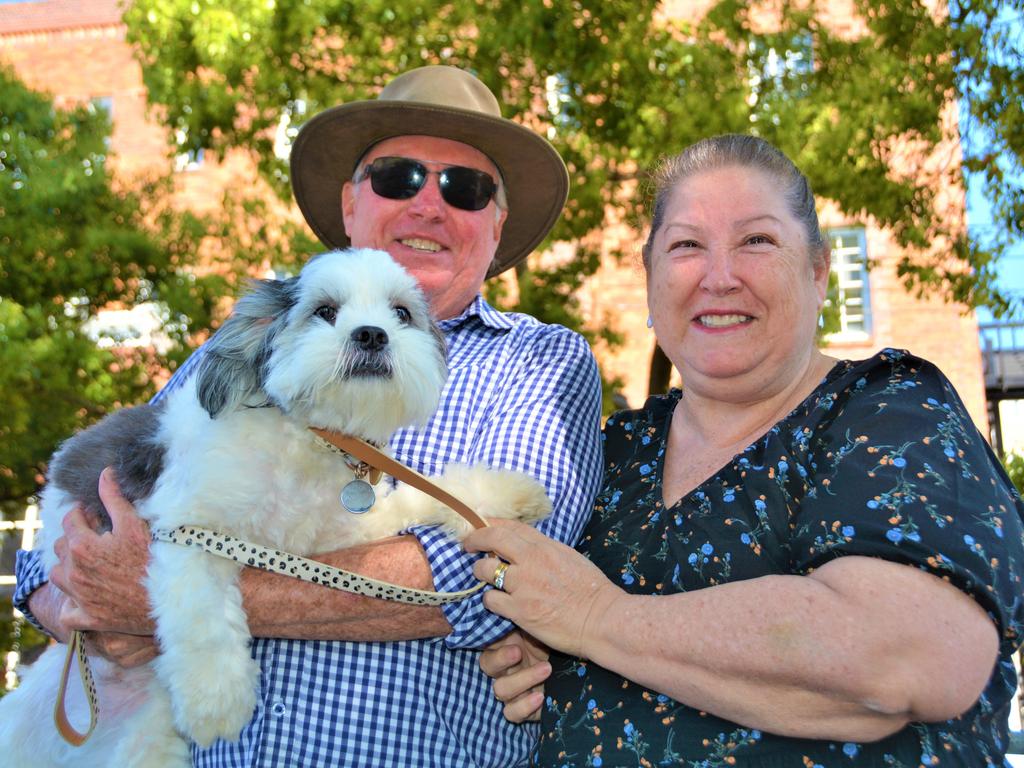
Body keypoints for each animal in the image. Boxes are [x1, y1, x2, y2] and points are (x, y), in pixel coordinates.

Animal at [0, 247, 552, 768]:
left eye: (401, 313)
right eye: (325, 311)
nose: (372, 335)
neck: (304, 439)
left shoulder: (344, 537)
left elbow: (420, 496)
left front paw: (505, 494)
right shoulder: (186, 533)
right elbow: (204, 621)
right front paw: (218, 700)